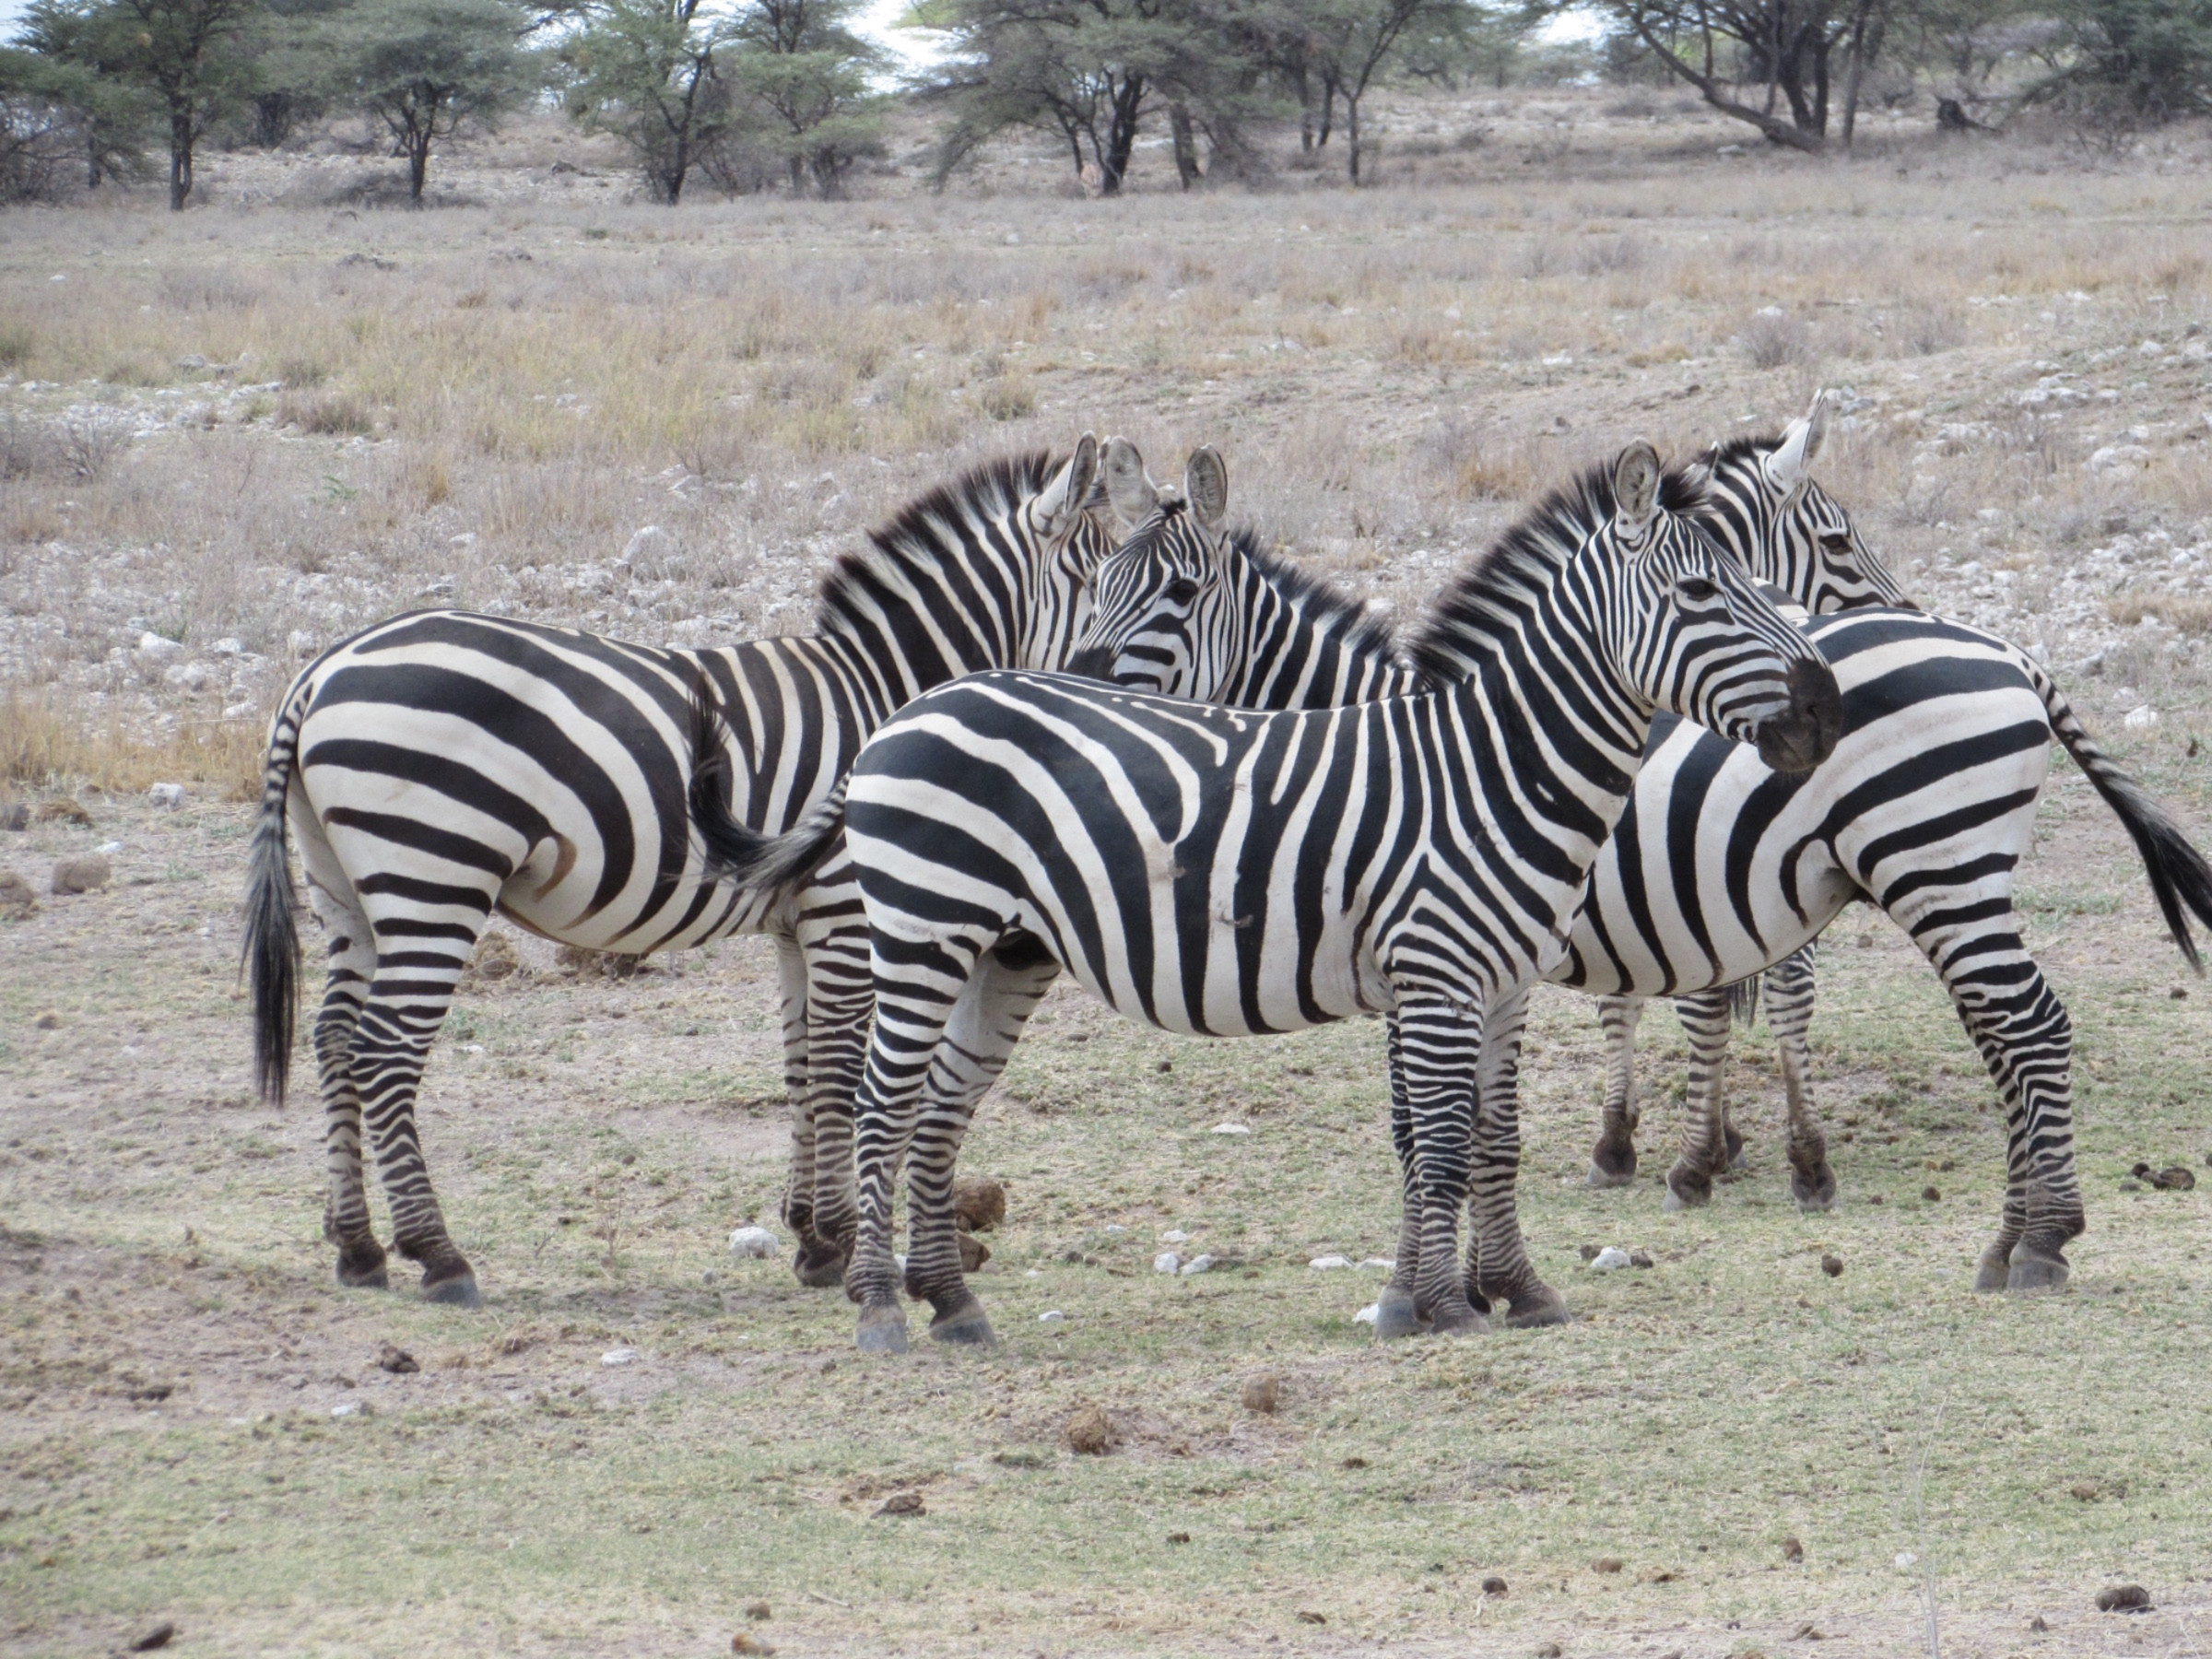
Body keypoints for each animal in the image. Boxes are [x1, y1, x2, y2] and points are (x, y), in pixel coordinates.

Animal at [244, 444, 1114, 1309]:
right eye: (1109, 583)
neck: (886, 695)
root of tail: (321, 673)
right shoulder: (844, 909)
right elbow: (838, 1071)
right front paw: (839, 1238)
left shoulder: (795, 922)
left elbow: (800, 1067)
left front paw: (810, 1235)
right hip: (435, 871)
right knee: (383, 1050)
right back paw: (438, 1254)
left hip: (344, 887)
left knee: (333, 1036)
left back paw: (358, 1246)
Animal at [699, 442, 1840, 1353]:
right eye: (1699, 599)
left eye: (1746, 584)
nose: (1825, 705)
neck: (1493, 765)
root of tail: (902, 713)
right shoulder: (1431, 975)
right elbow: (1430, 1138)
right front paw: (1438, 1303)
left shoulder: (1498, 982)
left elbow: (1485, 1136)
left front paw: (1508, 1288)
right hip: (922, 932)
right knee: (885, 1105)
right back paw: (880, 1305)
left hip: (1001, 950)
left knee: (937, 1107)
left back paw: (951, 1302)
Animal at [1070, 462, 2212, 1309]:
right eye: (1095, 585)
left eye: (1174, 596)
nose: (1073, 679)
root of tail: (2013, 651)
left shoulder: (1460, 955)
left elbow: (1448, 1119)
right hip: (1947, 874)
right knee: (2004, 1033)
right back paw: (2011, 1237)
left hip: (1940, 860)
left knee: (2031, 1027)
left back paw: (2045, 1242)